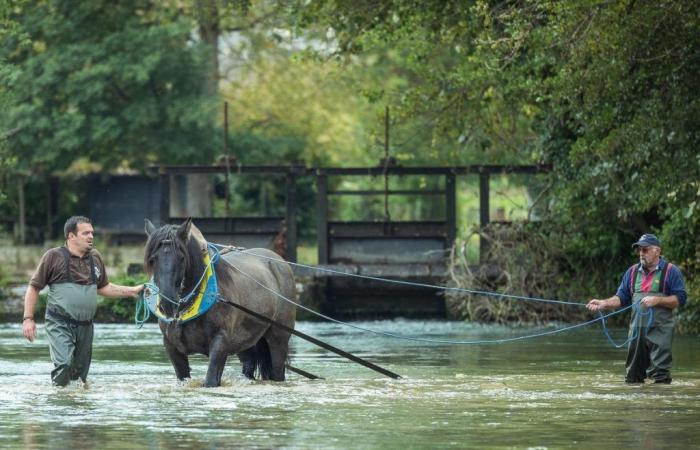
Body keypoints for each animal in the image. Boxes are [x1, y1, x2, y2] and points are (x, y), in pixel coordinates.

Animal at [142, 218, 296, 386]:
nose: (167, 303)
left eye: (182, 258)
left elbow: (211, 379)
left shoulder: (220, 342)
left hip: (278, 338)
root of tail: (280, 261)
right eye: (152, 259)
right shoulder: (172, 347)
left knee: (277, 368)